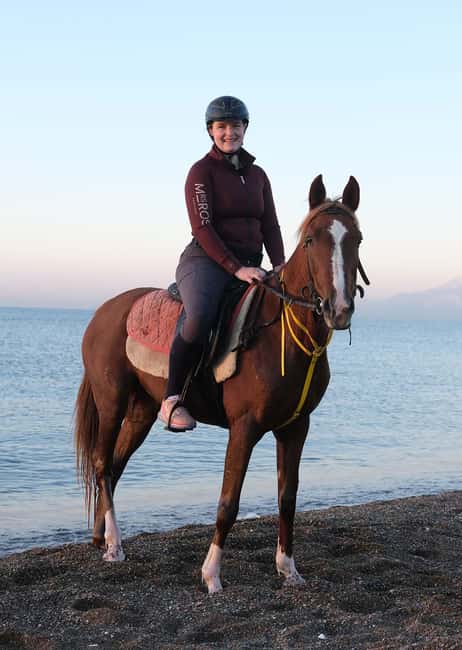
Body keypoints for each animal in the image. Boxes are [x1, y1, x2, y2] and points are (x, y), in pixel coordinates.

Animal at [74, 174, 367, 593]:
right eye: (311, 240)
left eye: (356, 239)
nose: (338, 309)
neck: (280, 334)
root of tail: (103, 312)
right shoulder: (244, 428)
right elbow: (228, 502)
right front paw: (211, 574)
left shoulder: (295, 428)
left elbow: (287, 498)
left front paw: (288, 569)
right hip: (111, 401)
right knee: (101, 463)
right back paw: (114, 544)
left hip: (142, 411)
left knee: (114, 467)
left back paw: (102, 537)